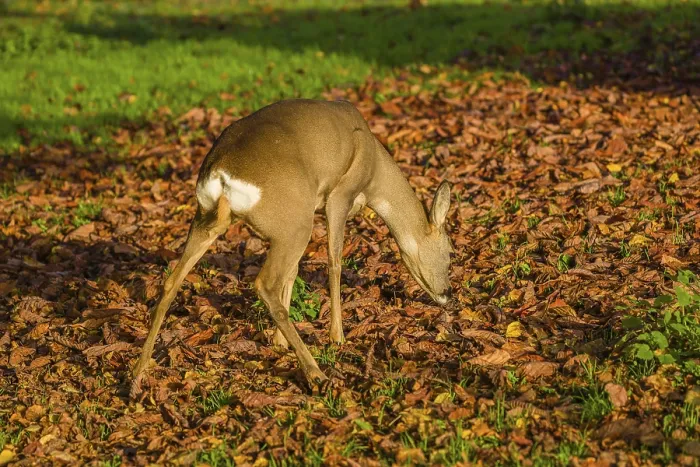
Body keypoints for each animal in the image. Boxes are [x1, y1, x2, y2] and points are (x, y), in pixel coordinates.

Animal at [131, 99, 454, 392]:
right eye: (450, 253)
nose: (447, 294)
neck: (374, 174)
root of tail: (221, 175)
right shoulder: (340, 195)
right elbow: (334, 263)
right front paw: (337, 336)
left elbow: (296, 271)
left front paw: (278, 342)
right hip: (294, 221)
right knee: (265, 284)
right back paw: (316, 373)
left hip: (209, 218)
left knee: (172, 280)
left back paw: (138, 371)